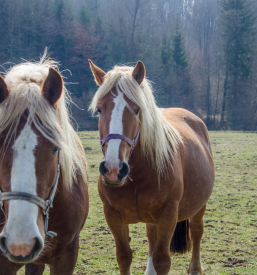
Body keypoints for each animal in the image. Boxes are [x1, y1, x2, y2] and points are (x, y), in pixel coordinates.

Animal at [88, 61, 214, 275]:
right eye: (99, 110)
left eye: (136, 109)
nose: (113, 169)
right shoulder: (113, 216)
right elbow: (124, 257)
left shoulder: (168, 215)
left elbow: (162, 260)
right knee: (152, 237)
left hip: (199, 205)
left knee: (197, 231)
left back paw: (196, 268)